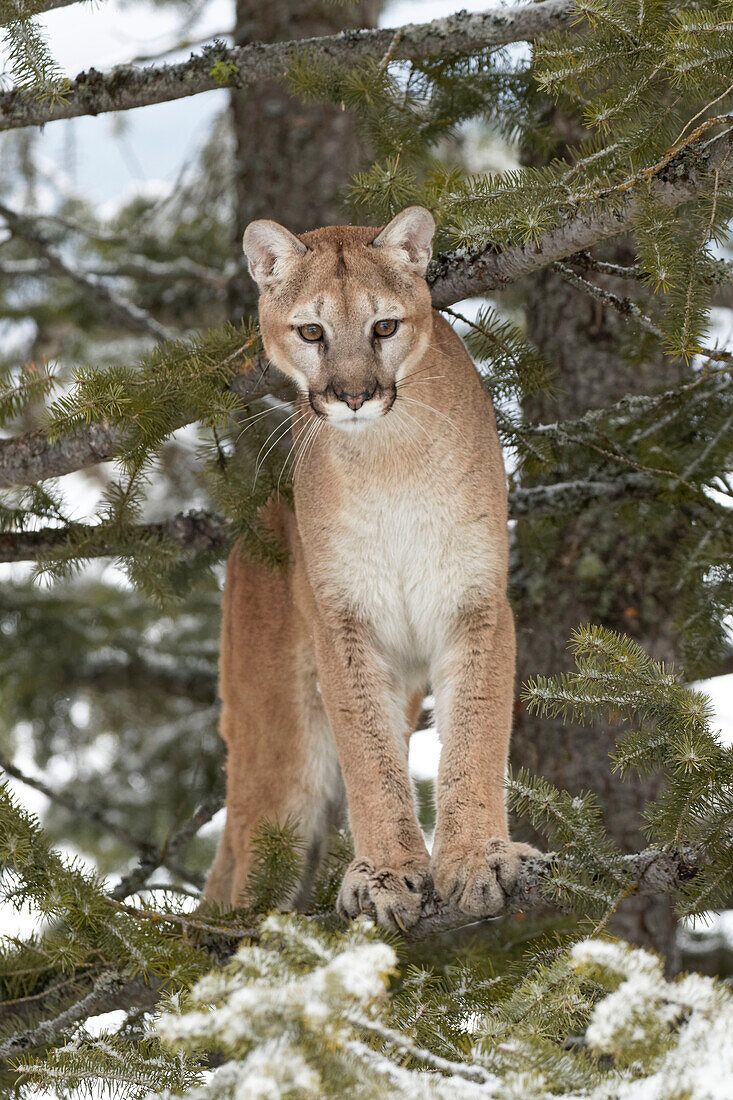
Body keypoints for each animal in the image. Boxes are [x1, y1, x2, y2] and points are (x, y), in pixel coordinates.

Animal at [202, 206, 534, 928]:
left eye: (384, 326)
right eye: (311, 331)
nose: (353, 395)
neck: (388, 461)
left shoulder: (475, 604)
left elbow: (475, 736)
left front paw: (476, 857)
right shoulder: (346, 624)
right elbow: (368, 756)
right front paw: (386, 873)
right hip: (278, 743)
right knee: (247, 869)